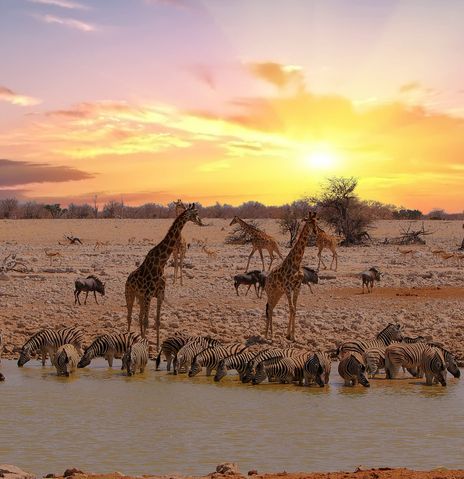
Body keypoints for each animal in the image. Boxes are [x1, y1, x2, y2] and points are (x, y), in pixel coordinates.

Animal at [125, 204, 203, 350]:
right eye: (195, 213)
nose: (201, 222)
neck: (160, 264)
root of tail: (127, 279)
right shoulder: (149, 295)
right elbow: (147, 321)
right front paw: (147, 347)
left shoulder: (160, 294)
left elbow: (157, 321)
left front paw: (157, 346)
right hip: (130, 294)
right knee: (130, 316)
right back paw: (128, 337)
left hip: (140, 296)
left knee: (139, 316)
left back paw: (141, 338)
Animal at [262, 213, 318, 342]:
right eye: (309, 222)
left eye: (316, 222)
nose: (316, 231)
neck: (296, 264)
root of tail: (267, 280)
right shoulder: (288, 288)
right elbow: (291, 308)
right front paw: (291, 336)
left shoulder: (297, 287)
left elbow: (294, 309)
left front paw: (291, 335)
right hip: (271, 292)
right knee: (269, 308)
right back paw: (269, 335)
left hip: (278, 293)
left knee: (271, 308)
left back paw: (269, 334)